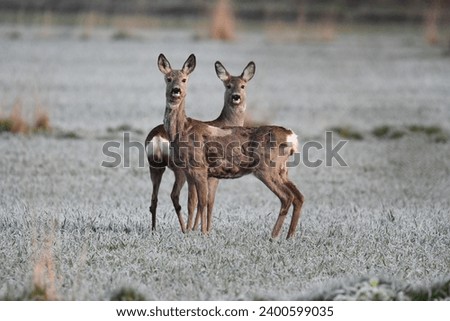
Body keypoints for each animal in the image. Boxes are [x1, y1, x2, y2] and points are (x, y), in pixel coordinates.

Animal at [146, 55, 255, 232]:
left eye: (243, 85)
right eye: (228, 85)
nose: (236, 96)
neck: (225, 124)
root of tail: (156, 137)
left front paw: (197, 228)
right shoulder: (212, 175)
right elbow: (208, 202)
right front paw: (205, 230)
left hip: (155, 166)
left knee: (154, 199)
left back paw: (155, 230)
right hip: (179, 170)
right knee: (176, 196)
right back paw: (184, 229)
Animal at [159, 53, 306, 238]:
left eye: (184, 79)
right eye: (168, 78)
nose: (176, 90)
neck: (183, 129)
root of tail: (291, 136)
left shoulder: (200, 168)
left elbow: (203, 202)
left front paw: (203, 233)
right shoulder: (190, 171)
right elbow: (194, 202)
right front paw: (194, 232)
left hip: (266, 168)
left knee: (287, 197)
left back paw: (273, 237)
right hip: (282, 170)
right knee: (299, 196)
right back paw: (289, 236)